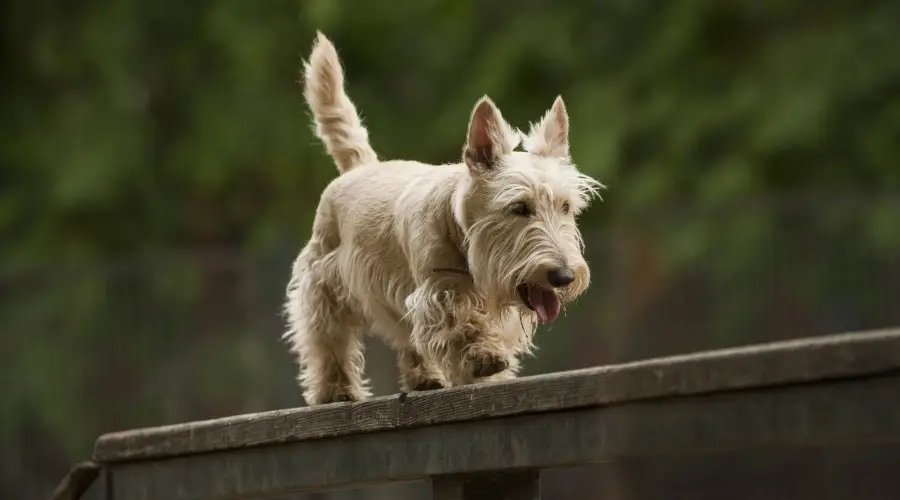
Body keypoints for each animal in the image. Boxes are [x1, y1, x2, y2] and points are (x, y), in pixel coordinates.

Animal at [282, 32, 604, 406]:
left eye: (566, 207)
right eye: (519, 208)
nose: (564, 276)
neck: (461, 231)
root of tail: (360, 166)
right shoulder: (439, 290)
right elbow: (458, 322)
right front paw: (483, 357)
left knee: (407, 338)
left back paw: (424, 378)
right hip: (323, 282)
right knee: (328, 337)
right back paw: (336, 389)